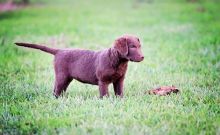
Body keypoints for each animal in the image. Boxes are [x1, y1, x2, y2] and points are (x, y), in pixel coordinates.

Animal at [14, 34, 144, 98]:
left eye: (139, 46)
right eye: (132, 46)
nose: (143, 57)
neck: (118, 62)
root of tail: (59, 51)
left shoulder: (119, 80)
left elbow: (119, 93)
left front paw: (120, 101)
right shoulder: (103, 81)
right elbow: (104, 95)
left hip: (66, 78)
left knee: (57, 89)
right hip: (62, 76)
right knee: (57, 90)